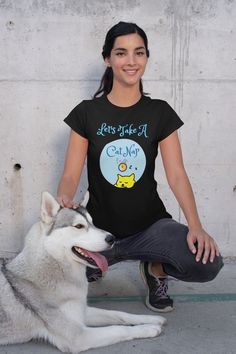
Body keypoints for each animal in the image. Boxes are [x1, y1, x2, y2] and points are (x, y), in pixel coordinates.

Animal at [0, 192, 166, 352]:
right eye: (79, 226)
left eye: (93, 222)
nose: (112, 238)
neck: (54, 264)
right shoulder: (78, 337)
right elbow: (118, 329)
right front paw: (149, 329)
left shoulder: (82, 311)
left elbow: (118, 314)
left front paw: (150, 319)